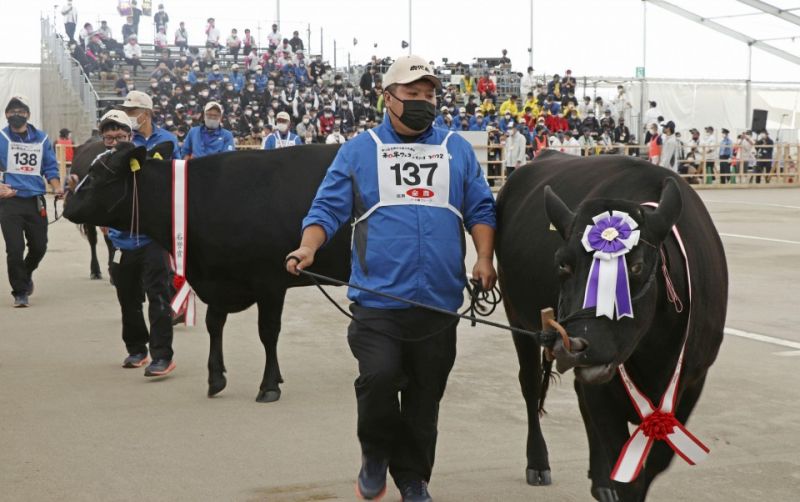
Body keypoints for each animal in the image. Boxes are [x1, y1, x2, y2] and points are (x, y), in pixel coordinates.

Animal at [62, 143, 350, 402]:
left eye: (97, 175)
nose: (67, 205)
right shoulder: (216, 279)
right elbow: (214, 324)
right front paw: (216, 378)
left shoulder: (269, 282)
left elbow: (267, 332)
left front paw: (268, 386)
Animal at [496, 151, 728, 502]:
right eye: (562, 263)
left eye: (636, 266)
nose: (576, 346)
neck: (654, 353)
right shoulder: (605, 390)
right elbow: (628, 474)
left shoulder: (692, 380)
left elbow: (654, 464)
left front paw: (609, 479)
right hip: (516, 315)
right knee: (531, 384)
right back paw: (539, 462)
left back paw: (600, 481)